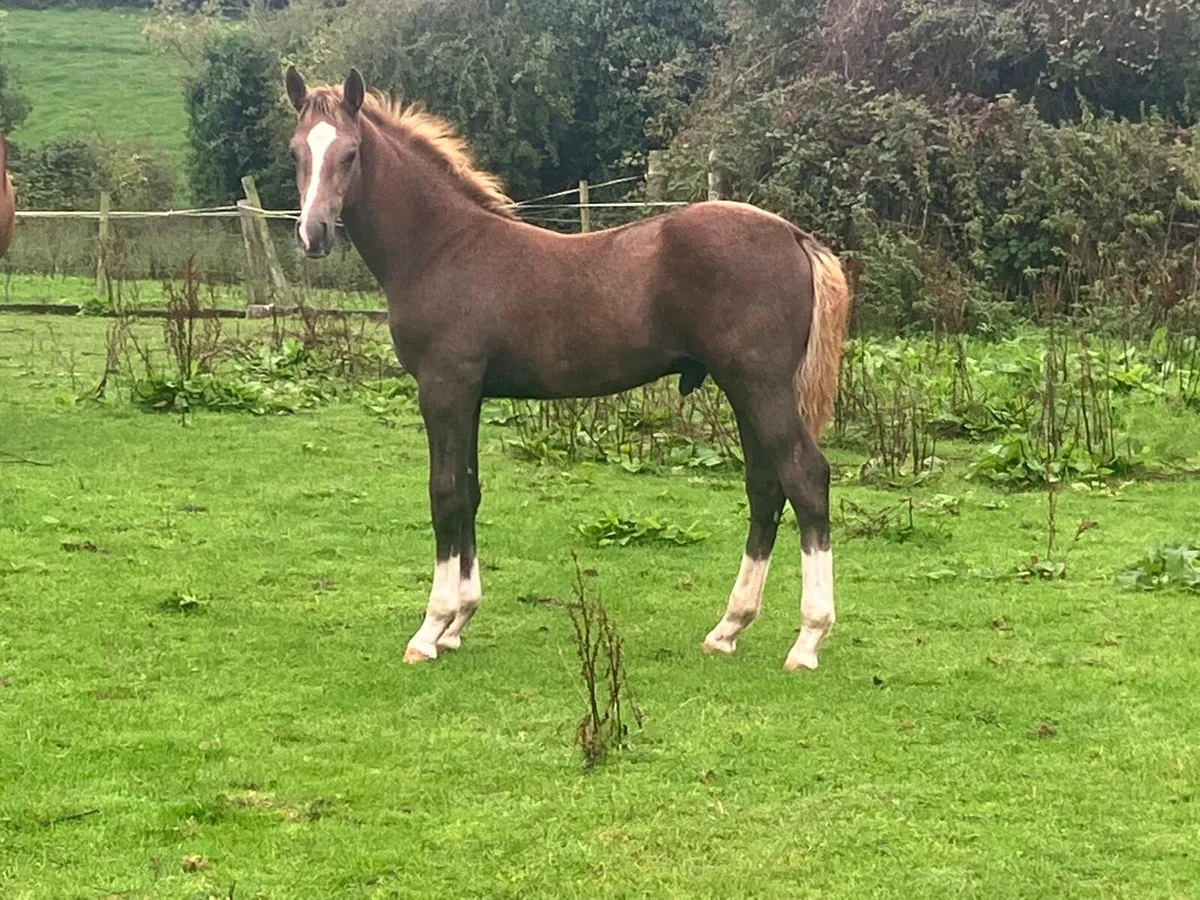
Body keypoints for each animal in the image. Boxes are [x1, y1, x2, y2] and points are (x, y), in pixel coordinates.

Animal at [283, 67, 851, 671]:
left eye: (350, 153)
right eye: (297, 151)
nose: (313, 234)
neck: (441, 247)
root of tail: (794, 235)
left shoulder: (444, 387)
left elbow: (446, 495)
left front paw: (431, 628)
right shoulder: (471, 394)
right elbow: (470, 491)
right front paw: (460, 622)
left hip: (760, 385)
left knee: (805, 477)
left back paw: (808, 639)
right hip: (744, 388)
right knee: (765, 487)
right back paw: (728, 627)